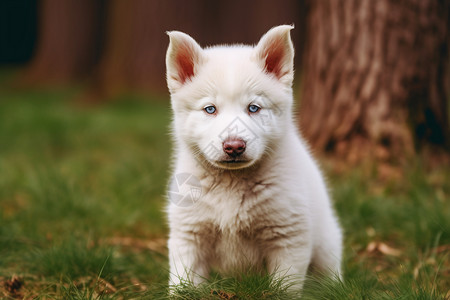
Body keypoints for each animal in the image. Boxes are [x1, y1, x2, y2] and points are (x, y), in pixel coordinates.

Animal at [165, 25, 342, 290]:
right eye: (210, 109)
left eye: (253, 108)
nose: (234, 146)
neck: (230, 184)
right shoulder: (189, 236)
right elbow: (182, 286)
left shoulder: (288, 238)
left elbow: (283, 288)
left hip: (326, 246)